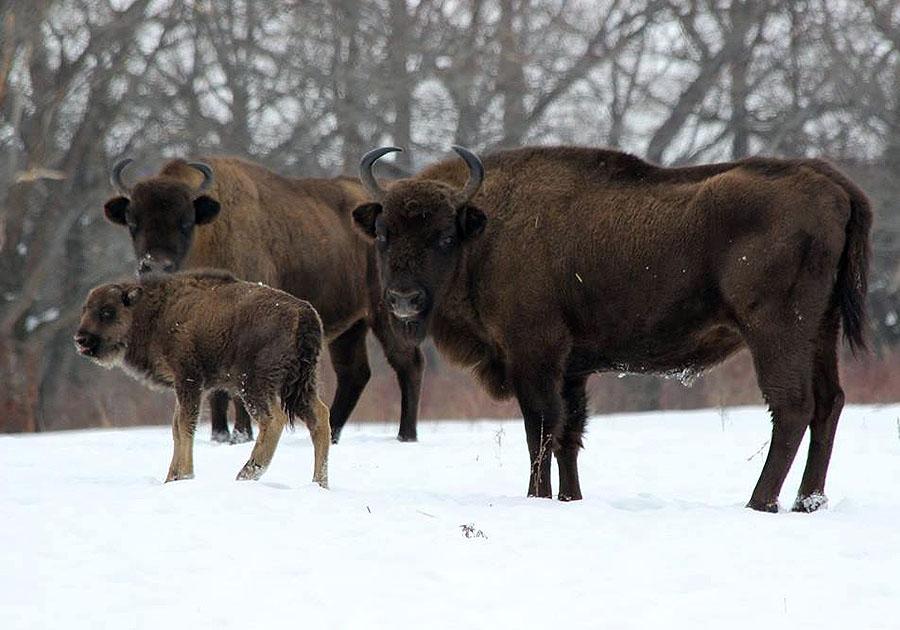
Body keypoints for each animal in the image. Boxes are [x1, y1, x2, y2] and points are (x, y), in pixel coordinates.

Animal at [75, 272, 330, 488]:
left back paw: (246, 474)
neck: (155, 312)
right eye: (85, 308)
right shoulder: (183, 386)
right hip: (299, 384)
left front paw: (184, 475)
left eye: (107, 311)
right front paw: (171, 478)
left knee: (273, 419)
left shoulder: (189, 380)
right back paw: (319, 483)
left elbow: (185, 425)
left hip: (254, 384)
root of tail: (303, 313)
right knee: (319, 416)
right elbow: (176, 428)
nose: (81, 339)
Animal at [103, 157, 428, 444]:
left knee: (407, 362)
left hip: (387, 312)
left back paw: (406, 435)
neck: (209, 234)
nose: (155, 266)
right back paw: (333, 432)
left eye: (185, 221)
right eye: (132, 221)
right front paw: (220, 435)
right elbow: (217, 389)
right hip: (350, 327)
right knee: (354, 373)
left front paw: (241, 434)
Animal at [354, 144, 872, 512]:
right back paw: (808, 503)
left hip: (776, 330)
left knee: (792, 406)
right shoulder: (572, 369)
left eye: (444, 236)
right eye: (382, 235)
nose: (403, 300)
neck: (485, 231)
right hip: (821, 331)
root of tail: (834, 185)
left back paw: (759, 503)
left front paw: (536, 497)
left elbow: (540, 428)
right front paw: (570, 498)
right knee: (829, 402)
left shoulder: (533, 356)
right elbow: (569, 433)